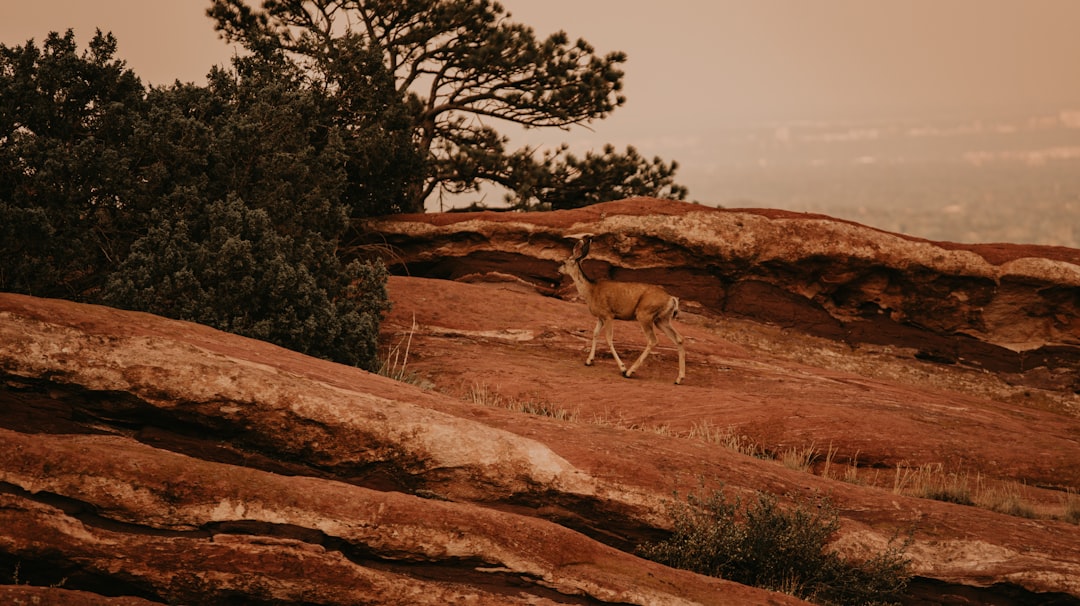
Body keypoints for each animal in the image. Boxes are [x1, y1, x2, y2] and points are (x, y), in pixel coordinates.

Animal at [561, 235, 686, 382]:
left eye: (564, 262)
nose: (558, 269)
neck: (590, 290)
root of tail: (671, 298)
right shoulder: (601, 317)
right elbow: (595, 333)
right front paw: (589, 361)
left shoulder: (608, 315)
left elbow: (609, 338)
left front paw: (622, 368)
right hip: (662, 319)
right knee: (679, 338)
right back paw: (679, 378)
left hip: (645, 315)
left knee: (653, 340)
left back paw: (630, 372)